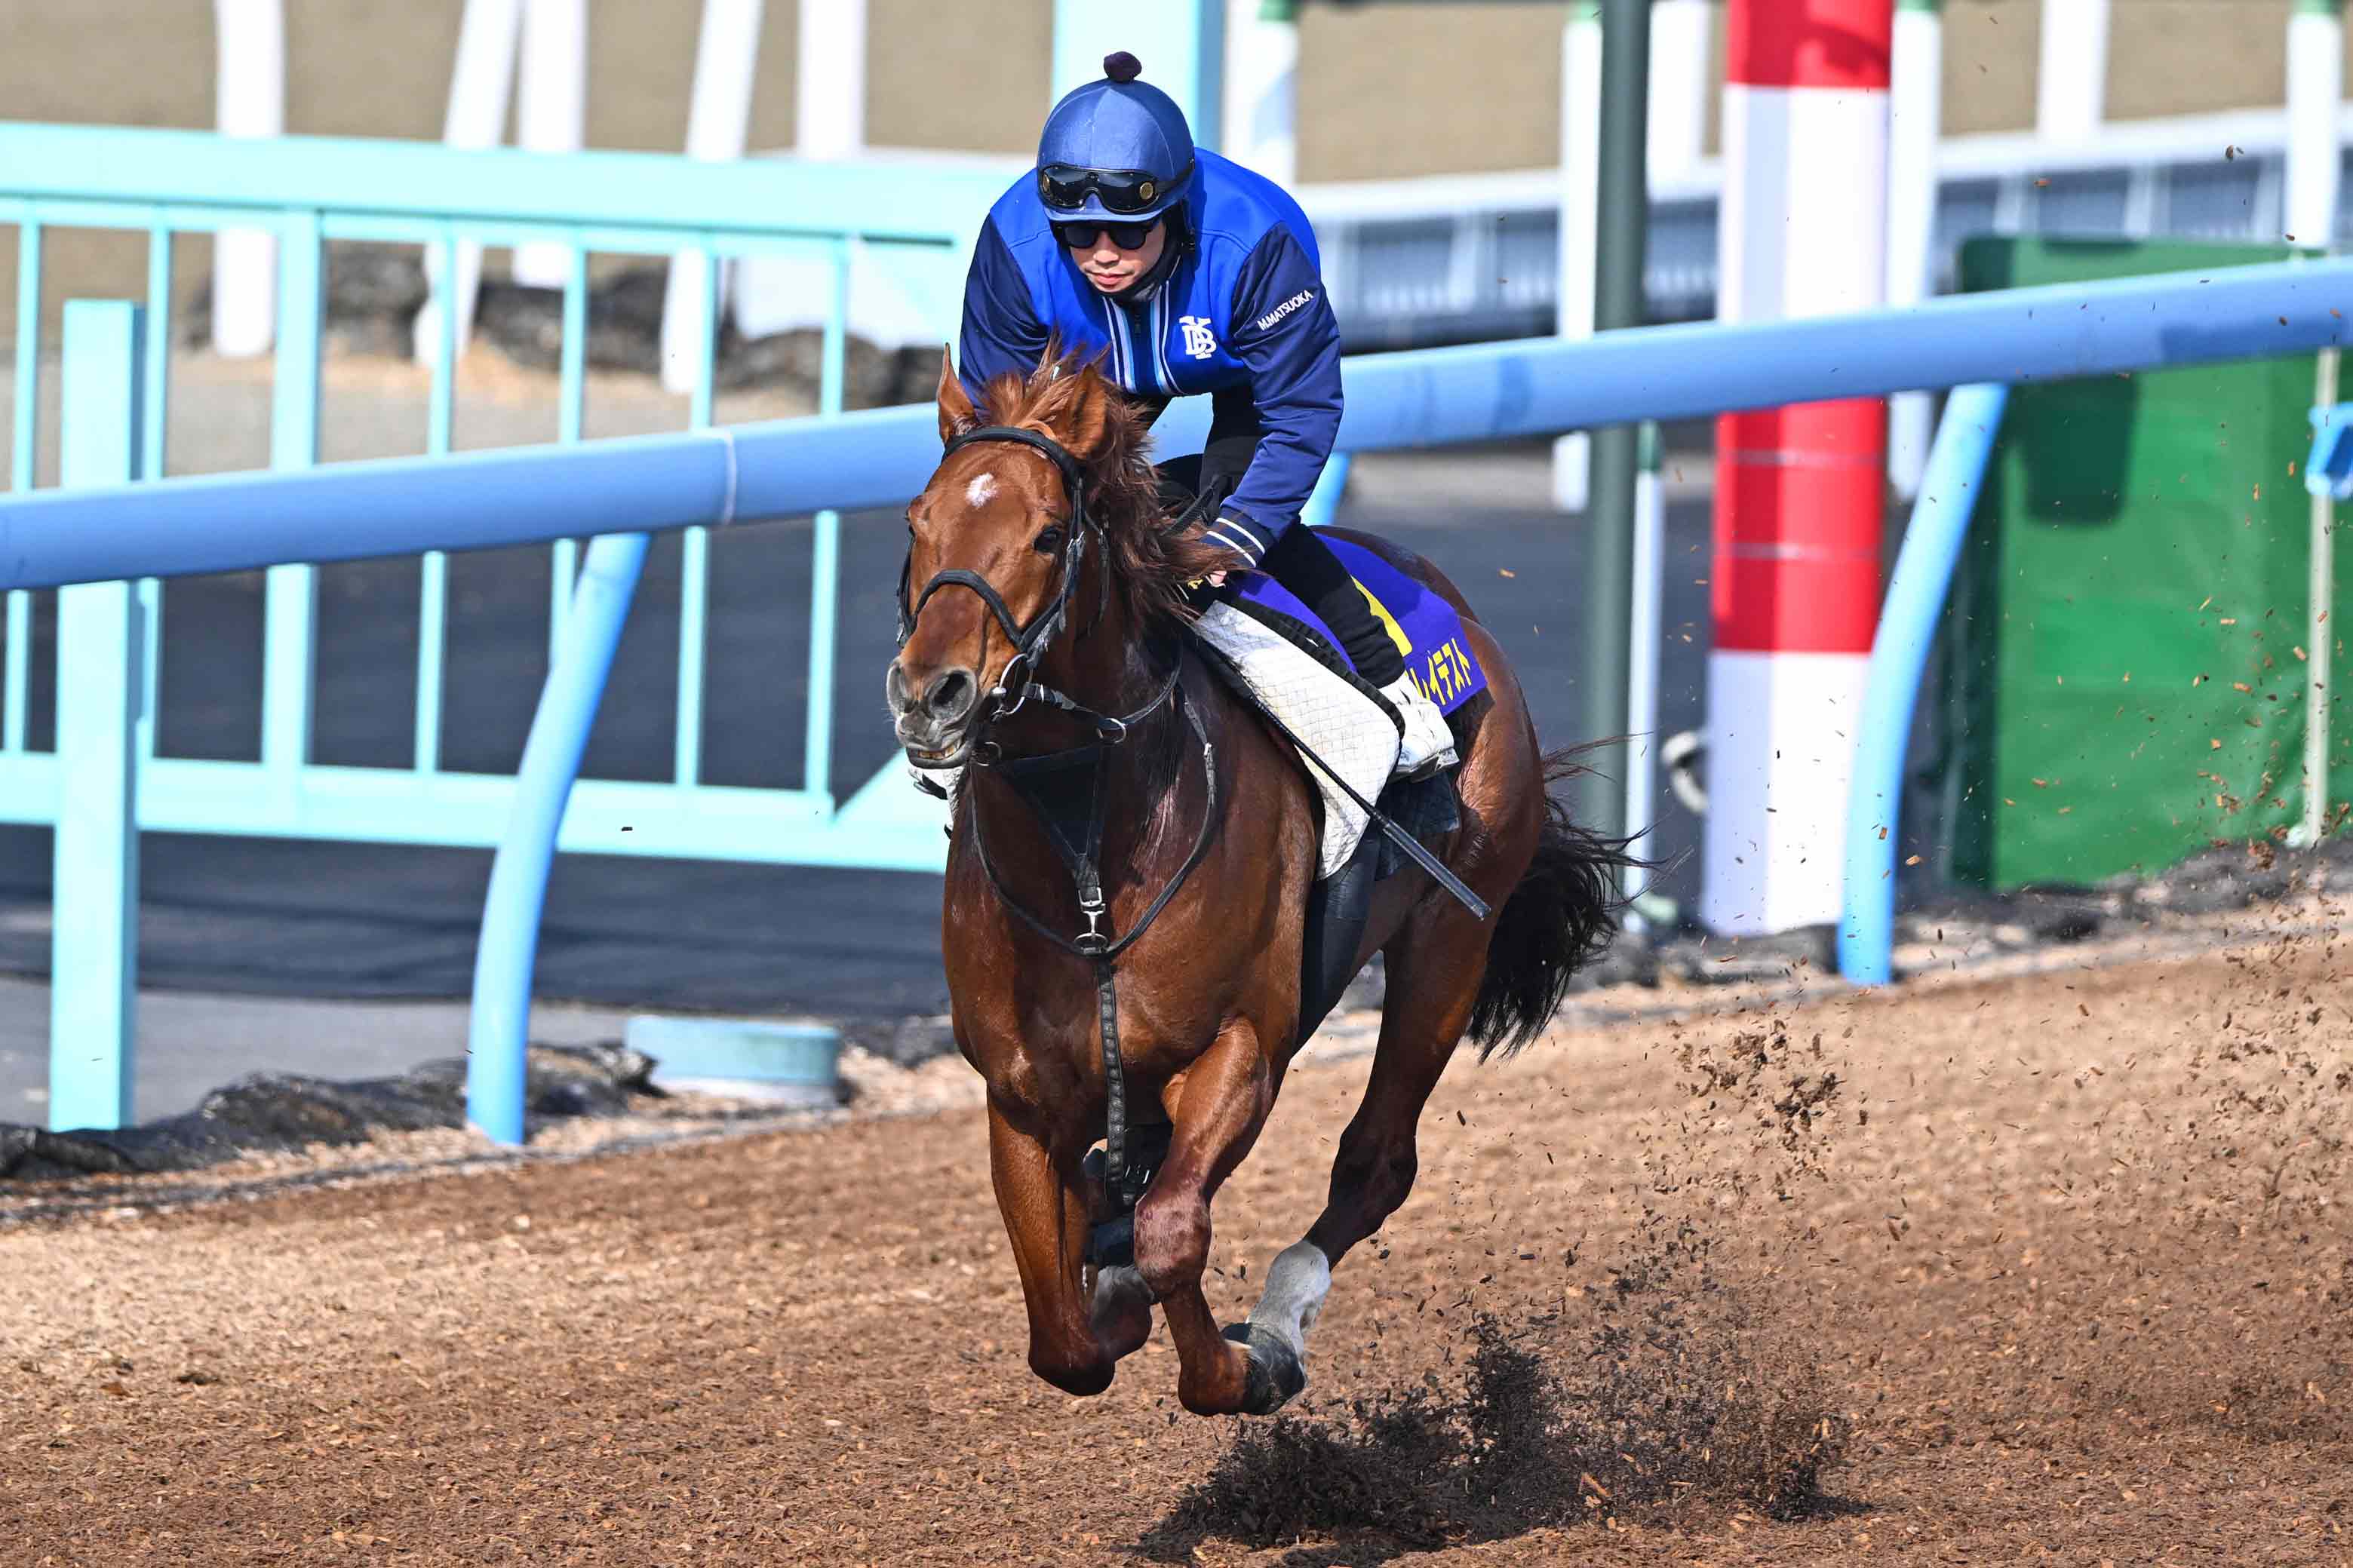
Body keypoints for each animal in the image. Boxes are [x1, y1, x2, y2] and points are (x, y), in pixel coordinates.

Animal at [887, 346, 1630, 1417]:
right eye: (918, 522)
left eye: (1047, 533)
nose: (929, 694)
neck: (1090, 853)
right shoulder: (1021, 1094)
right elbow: (1062, 1334)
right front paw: (1108, 1291)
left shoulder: (1242, 1045)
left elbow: (1170, 1234)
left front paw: (1245, 1362)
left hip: (1449, 942)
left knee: (1373, 1162)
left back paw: (1281, 1313)